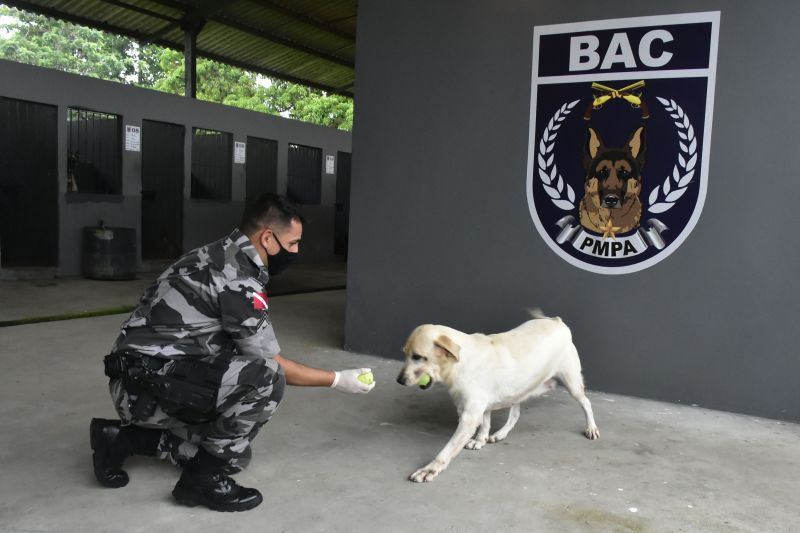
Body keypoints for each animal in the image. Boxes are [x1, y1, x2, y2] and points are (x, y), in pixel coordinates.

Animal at [396, 312, 596, 482]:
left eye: (418, 357)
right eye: (405, 354)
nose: (399, 380)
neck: (460, 363)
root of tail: (557, 321)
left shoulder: (469, 417)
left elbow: (448, 449)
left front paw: (430, 468)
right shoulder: (479, 407)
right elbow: (485, 422)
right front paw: (480, 439)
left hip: (572, 384)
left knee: (586, 402)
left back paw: (591, 428)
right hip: (518, 389)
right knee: (515, 415)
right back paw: (500, 433)